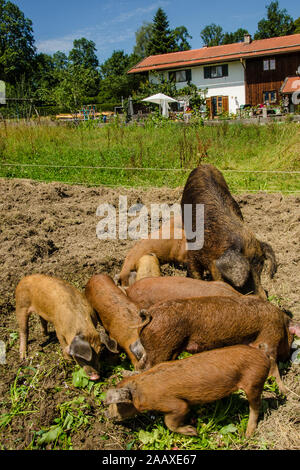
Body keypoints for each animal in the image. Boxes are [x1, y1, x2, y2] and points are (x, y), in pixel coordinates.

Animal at [106, 344, 270, 438]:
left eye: (120, 404)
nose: (107, 414)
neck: (141, 393)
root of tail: (264, 355)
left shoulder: (176, 405)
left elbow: (169, 422)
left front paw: (194, 432)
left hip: (254, 382)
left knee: (256, 406)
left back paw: (248, 435)